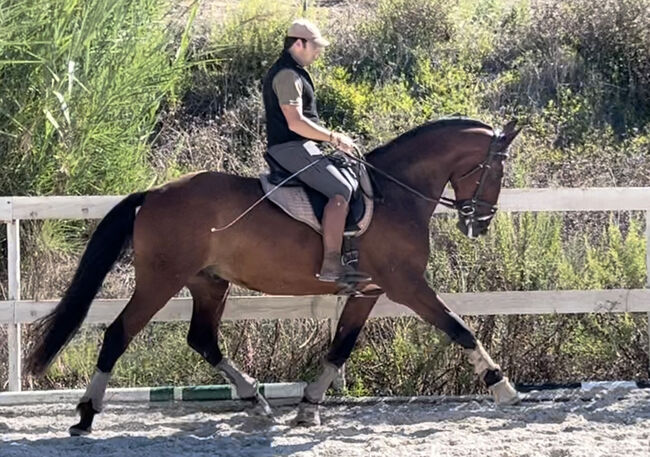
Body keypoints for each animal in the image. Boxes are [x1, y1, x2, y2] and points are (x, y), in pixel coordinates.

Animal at [24, 116, 520, 432]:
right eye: (496, 168)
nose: (480, 223)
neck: (395, 193)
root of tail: (154, 193)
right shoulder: (407, 285)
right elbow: (458, 328)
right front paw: (503, 387)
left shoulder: (368, 291)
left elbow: (340, 348)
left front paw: (308, 408)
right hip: (160, 280)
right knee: (118, 334)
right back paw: (86, 414)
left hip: (209, 282)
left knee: (202, 339)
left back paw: (256, 400)